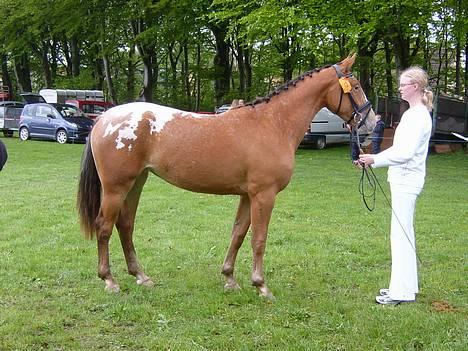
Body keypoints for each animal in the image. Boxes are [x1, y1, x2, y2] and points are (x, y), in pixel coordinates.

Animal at [77, 53, 376, 298]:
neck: (272, 123)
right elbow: (259, 238)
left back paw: (141, 276)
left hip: (136, 183)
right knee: (104, 226)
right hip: (116, 188)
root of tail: (104, 119)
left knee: (125, 225)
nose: (372, 121)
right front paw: (261, 285)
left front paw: (230, 278)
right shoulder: (264, 195)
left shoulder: (247, 195)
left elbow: (238, 234)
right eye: (356, 87)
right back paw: (109, 281)